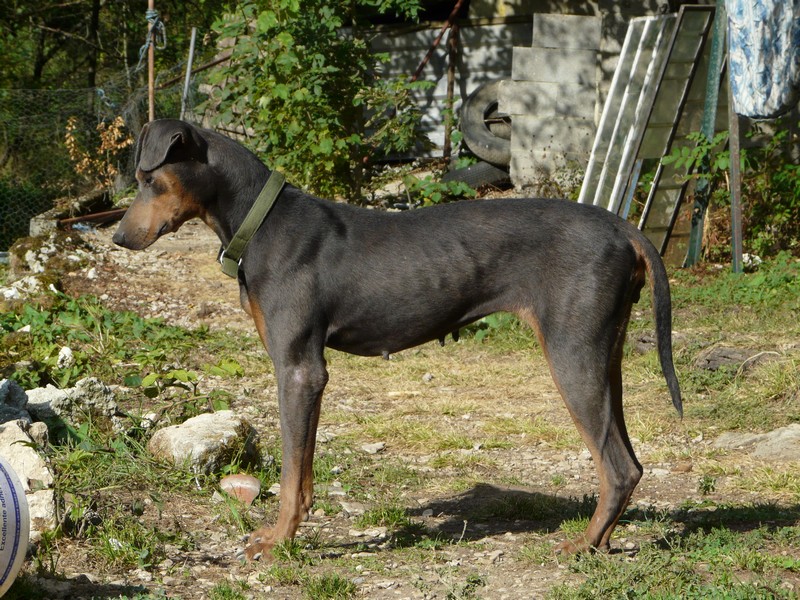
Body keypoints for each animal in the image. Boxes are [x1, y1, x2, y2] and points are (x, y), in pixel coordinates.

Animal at [112, 119, 680, 560]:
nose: (117, 237)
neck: (260, 219)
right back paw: (600, 542)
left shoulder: (298, 370)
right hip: (605, 358)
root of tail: (621, 226)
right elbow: (304, 471)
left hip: (572, 357)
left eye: (148, 178)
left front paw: (277, 542)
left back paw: (581, 545)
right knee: (628, 463)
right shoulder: (305, 375)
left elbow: (292, 475)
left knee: (618, 467)